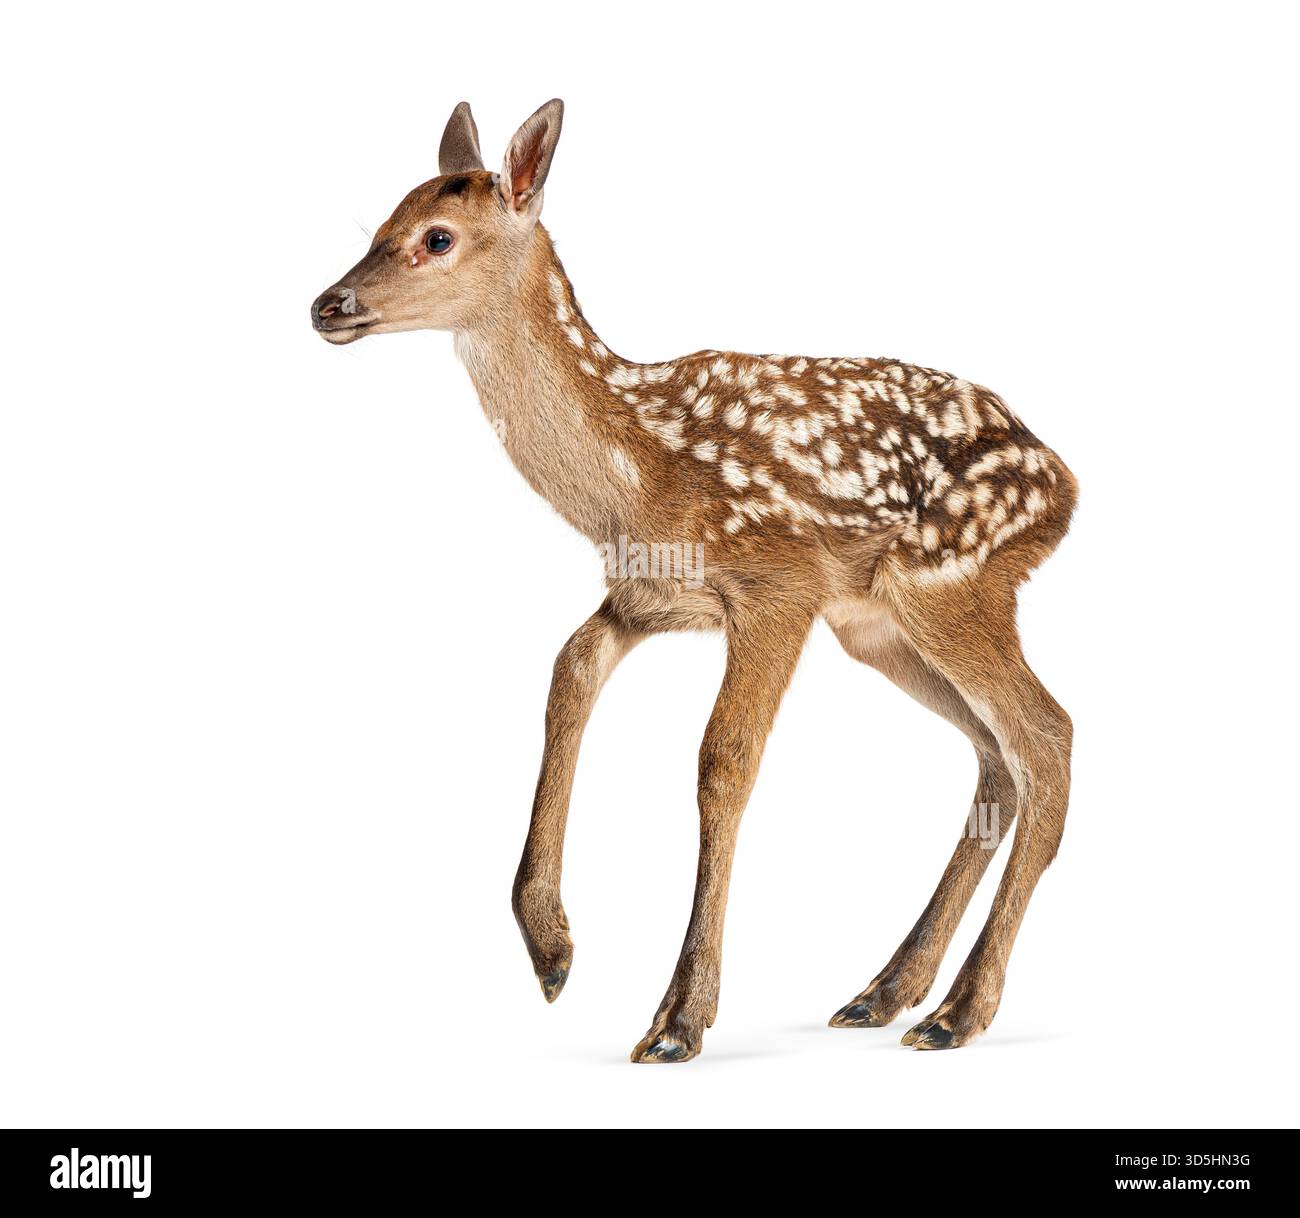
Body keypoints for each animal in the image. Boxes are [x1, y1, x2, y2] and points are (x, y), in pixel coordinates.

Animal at [311, 100, 1076, 1063]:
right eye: (383, 220)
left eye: (436, 237)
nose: (326, 305)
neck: (638, 472)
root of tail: (1065, 483)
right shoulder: (653, 594)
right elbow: (567, 673)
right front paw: (551, 947)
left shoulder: (778, 582)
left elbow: (723, 762)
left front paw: (678, 1019)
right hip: (877, 627)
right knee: (996, 756)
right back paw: (886, 993)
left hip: (950, 582)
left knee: (1046, 736)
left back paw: (958, 1011)